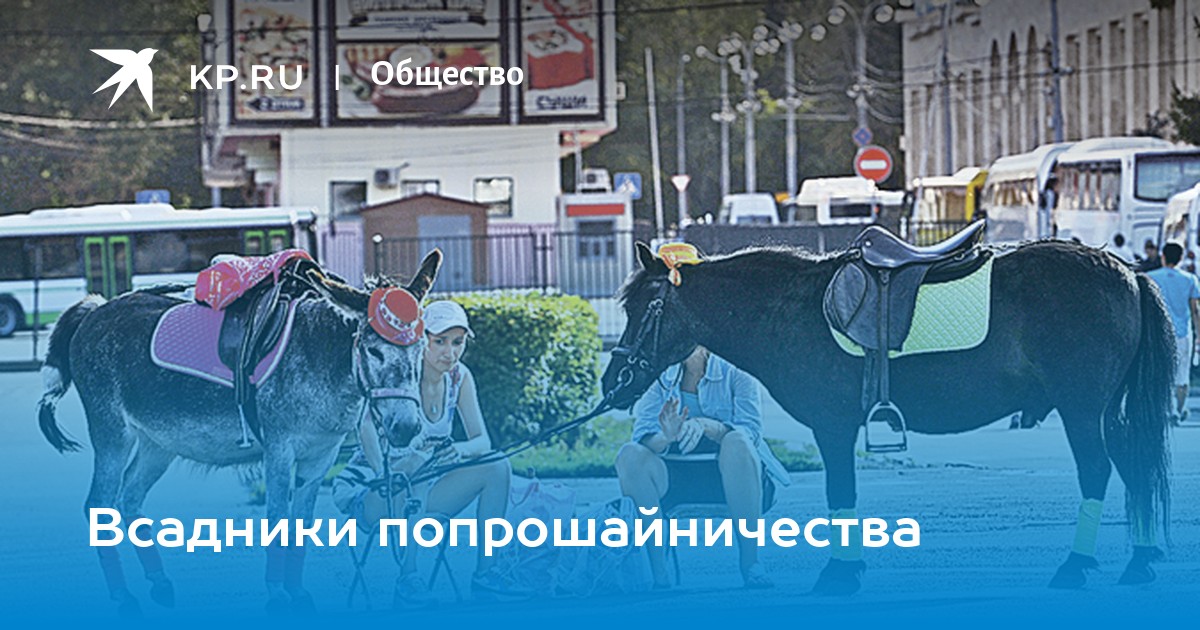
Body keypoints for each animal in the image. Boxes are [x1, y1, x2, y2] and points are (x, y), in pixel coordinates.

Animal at [36, 250, 443, 615]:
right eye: (374, 352)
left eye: (421, 348)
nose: (406, 427)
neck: (320, 356)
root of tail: (96, 310)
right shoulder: (279, 450)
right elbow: (278, 519)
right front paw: (277, 595)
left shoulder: (320, 457)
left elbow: (302, 525)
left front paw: (296, 592)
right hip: (112, 432)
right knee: (99, 506)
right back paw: (123, 597)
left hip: (157, 443)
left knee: (130, 499)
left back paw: (159, 582)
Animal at [602, 239, 1173, 595]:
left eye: (643, 306)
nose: (612, 383)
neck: (790, 310)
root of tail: (1127, 272)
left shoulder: (832, 426)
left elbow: (840, 494)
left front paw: (840, 572)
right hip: (1105, 411)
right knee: (1133, 468)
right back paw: (1140, 562)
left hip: (1081, 409)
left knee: (1097, 471)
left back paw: (1076, 566)